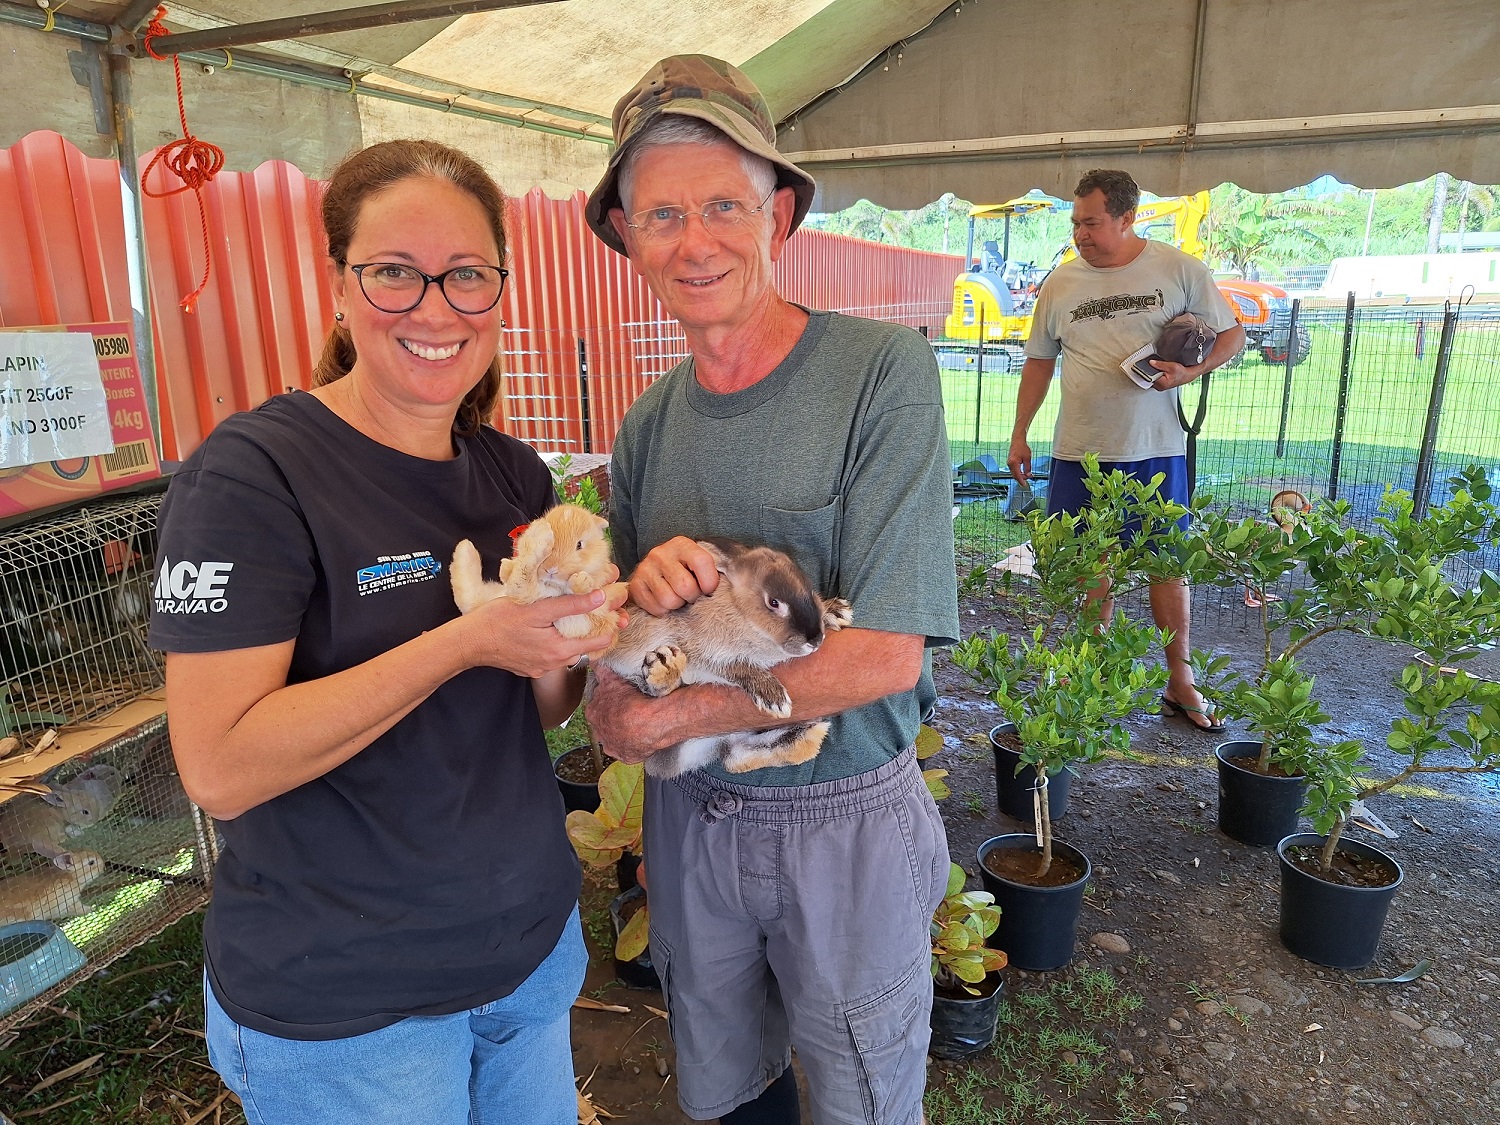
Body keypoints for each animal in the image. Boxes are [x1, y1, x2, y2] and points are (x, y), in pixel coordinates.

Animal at [597, 543, 858, 780]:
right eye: (773, 603)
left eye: (810, 589)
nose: (815, 640)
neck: (743, 614)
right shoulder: (706, 654)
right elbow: (737, 668)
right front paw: (774, 699)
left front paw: (836, 611)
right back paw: (663, 666)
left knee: (733, 757)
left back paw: (805, 735)